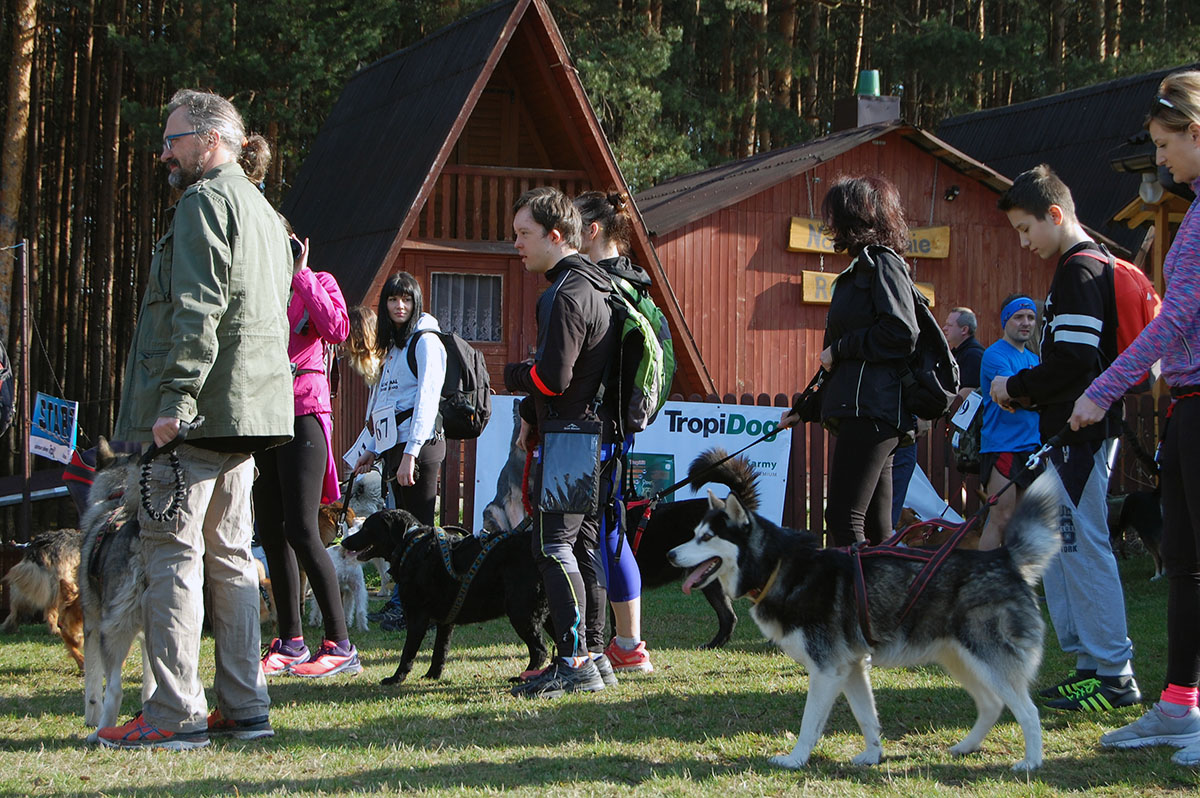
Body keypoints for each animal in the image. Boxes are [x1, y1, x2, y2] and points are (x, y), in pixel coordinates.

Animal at [1, 527, 85, 668]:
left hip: (26, 584)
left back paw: (9, 628)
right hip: (59, 581)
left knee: (15, 611)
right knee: (51, 612)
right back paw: (55, 630)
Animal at [342, 508, 549, 685]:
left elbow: (408, 652)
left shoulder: (417, 617)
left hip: (522, 612)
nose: (343, 543)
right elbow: (440, 651)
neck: (410, 544)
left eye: (366, 527)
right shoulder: (445, 621)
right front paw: (432, 675)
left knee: (540, 650)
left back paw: (522, 677)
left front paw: (396, 678)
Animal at [668, 461, 1061, 771]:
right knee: (992, 705)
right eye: (693, 534)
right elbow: (867, 719)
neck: (777, 567)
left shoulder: (827, 671)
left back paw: (1031, 762)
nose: (671, 554)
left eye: (706, 538)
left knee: (1028, 712)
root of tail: (1003, 556)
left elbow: (809, 725)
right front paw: (873, 756)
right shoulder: (851, 667)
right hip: (961, 660)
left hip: (989, 660)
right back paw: (964, 746)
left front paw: (795, 759)